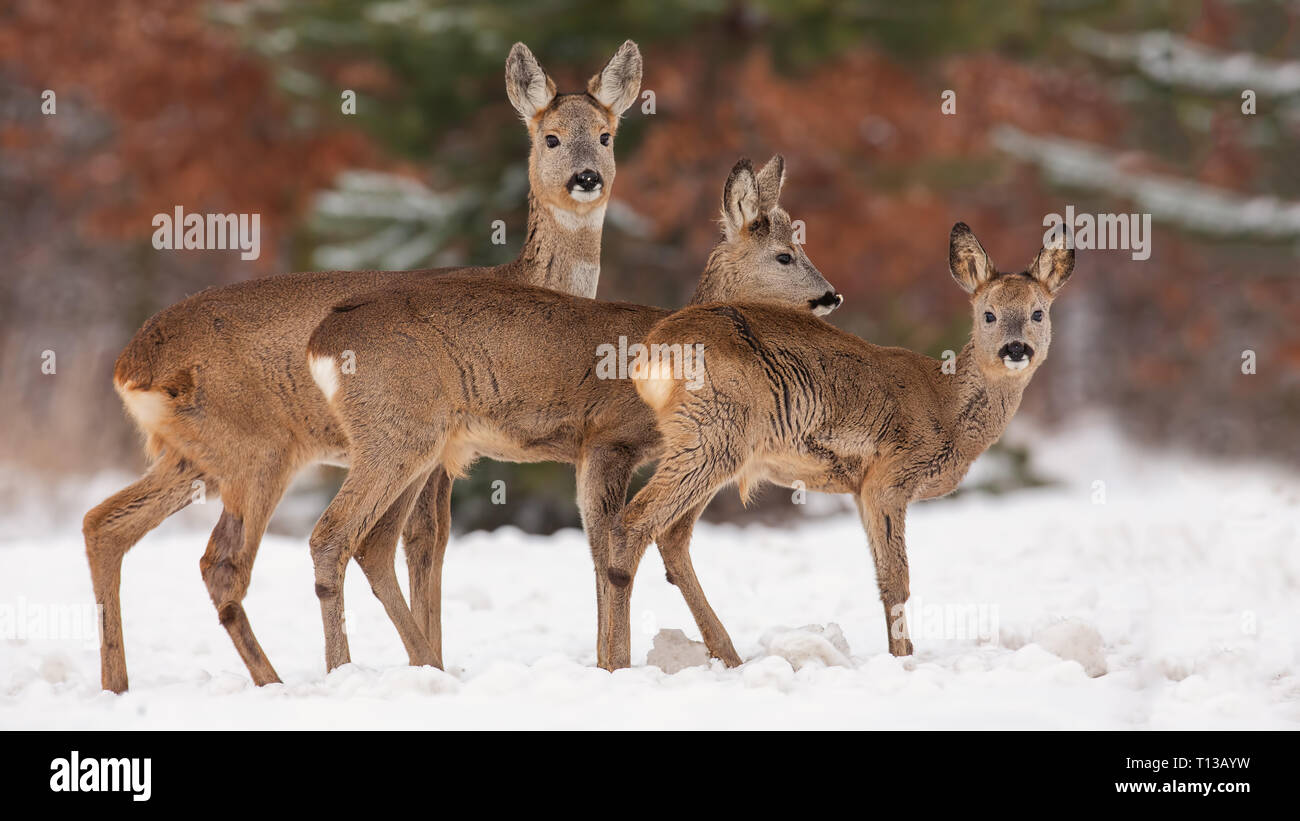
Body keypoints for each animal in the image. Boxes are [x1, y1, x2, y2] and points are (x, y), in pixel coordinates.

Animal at [83, 40, 642, 691]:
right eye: (550, 138)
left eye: (605, 135)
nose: (587, 178)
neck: (529, 282)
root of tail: (132, 364)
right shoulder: (442, 449)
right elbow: (421, 546)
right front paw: (431, 662)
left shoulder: (444, 454)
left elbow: (425, 550)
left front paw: (431, 660)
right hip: (261, 449)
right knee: (228, 560)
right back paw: (280, 680)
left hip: (192, 455)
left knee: (105, 525)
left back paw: (120, 684)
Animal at [304, 155, 842, 675]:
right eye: (784, 255)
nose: (831, 296)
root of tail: (321, 342)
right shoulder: (610, 437)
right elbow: (609, 546)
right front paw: (617, 664)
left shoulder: (587, 452)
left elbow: (598, 550)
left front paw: (606, 660)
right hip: (395, 431)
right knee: (330, 535)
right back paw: (344, 669)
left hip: (416, 444)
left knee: (372, 543)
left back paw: (424, 664)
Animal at [603, 223, 1071, 665]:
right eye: (988, 314)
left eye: (1038, 312)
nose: (1016, 348)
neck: (946, 406)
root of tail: (649, 356)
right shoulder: (889, 477)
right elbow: (896, 580)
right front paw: (902, 659)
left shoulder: (860, 489)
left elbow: (882, 576)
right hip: (714, 431)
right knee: (633, 523)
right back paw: (617, 663)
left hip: (712, 443)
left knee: (670, 535)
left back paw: (724, 656)